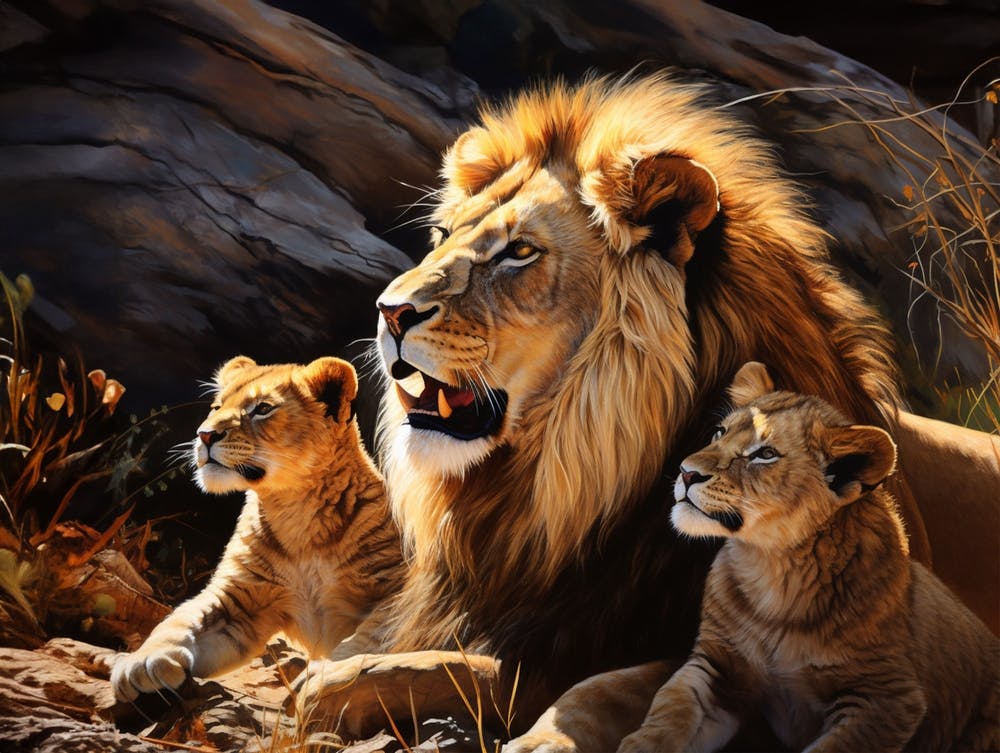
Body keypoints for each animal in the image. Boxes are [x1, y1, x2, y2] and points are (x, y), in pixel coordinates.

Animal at [294, 73, 1000, 749]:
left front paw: (339, 690)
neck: (536, 495)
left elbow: (552, 682)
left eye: (519, 252)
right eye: (442, 236)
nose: (389, 311)